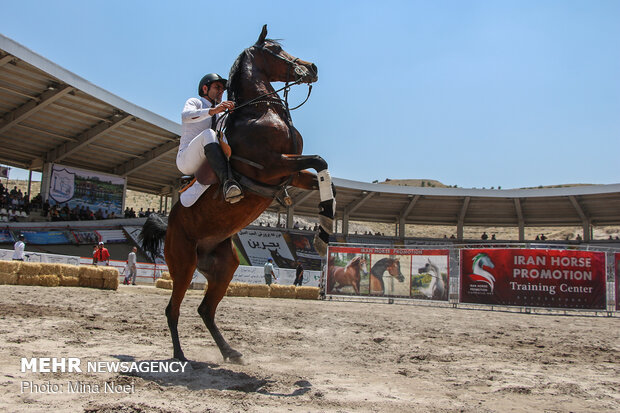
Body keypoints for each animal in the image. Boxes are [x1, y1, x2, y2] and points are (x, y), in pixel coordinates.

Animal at [141, 25, 336, 360]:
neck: (260, 110)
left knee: (205, 309)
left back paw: (230, 351)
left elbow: (327, 180)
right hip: (183, 265)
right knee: (172, 310)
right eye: (274, 49)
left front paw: (324, 232)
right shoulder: (271, 165)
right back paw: (180, 356)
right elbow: (321, 160)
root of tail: (168, 225)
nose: (312, 68)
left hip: (224, 266)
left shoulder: (292, 173)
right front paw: (321, 236)